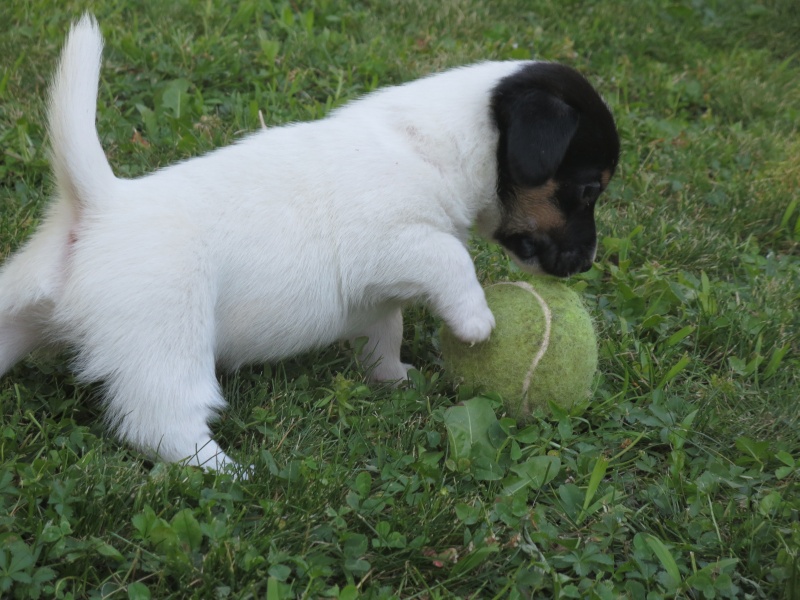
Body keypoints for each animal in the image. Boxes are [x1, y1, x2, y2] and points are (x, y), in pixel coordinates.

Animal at [0, 16, 620, 472]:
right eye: (589, 188)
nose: (587, 263)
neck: (439, 145)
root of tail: (99, 207)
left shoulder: (379, 294)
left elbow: (386, 332)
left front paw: (392, 378)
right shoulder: (400, 243)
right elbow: (452, 258)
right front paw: (477, 321)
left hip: (21, 313)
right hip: (166, 346)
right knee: (161, 423)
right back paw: (227, 474)